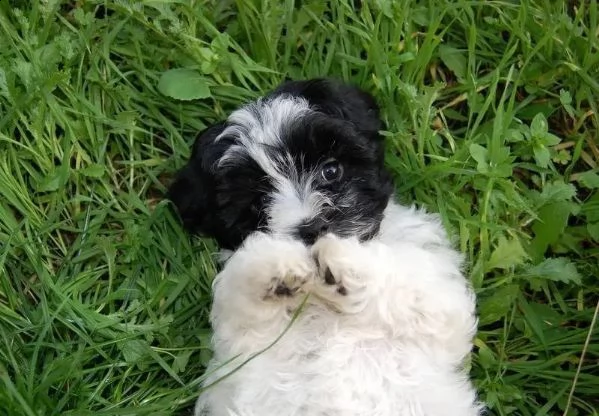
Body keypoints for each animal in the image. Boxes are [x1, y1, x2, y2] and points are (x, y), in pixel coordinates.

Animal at [168, 79, 482, 416]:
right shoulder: (241, 337)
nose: (311, 228)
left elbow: (408, 282)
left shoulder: (441, 305)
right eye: (258, 204)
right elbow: (239, 292)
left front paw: (344, 262)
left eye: (330, 171)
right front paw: (276, 268)